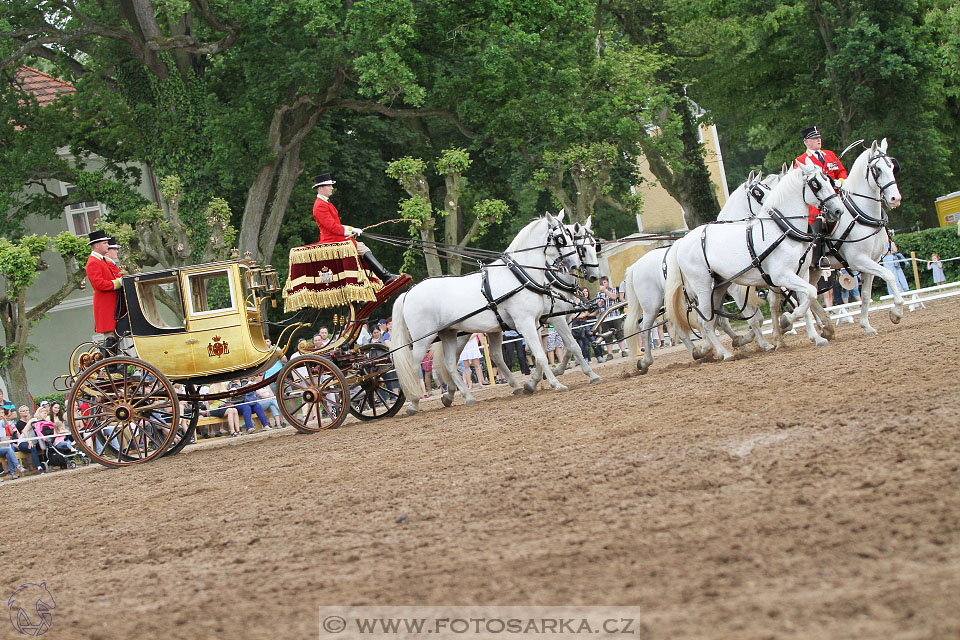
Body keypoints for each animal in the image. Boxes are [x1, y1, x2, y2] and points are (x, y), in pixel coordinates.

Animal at [390, 215, 584, 416]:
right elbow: (540, 355)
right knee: (414, 366)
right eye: (561, 238)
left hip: (448, 333)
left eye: (571, 236)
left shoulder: (536, 321)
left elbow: (543, 352)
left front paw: (534, 384)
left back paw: (467, 397)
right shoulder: (525, 322)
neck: (519, 276)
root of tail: (408, 293)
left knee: (450, 363)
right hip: (423, 339)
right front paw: (556, 384)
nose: (574, 264)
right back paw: (414, 403)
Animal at [664, 159, 844, 360]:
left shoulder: (801, 273)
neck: (782, 230)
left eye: (828, 179)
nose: (838, 210)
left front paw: (815, 336)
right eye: (815, 183)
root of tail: (682, 241)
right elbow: (804, 298)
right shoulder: (781, 276)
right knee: (704, 322)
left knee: (710, 320)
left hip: (719, 286)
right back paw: (724, 353)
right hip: (703, 288)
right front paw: (786, 322)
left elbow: (808, 298)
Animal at [768, 139, 904, 340]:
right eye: (877, 169)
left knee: (808, 294)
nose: (895, 198)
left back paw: (823, 327)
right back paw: (780, 333)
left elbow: (866, 294)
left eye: (892, 167)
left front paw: (866, 325)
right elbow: (889, 275)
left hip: (812, 269)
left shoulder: (872, 261)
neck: (860, 213)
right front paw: (897, 312)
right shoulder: (859, 260)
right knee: (778, 299)